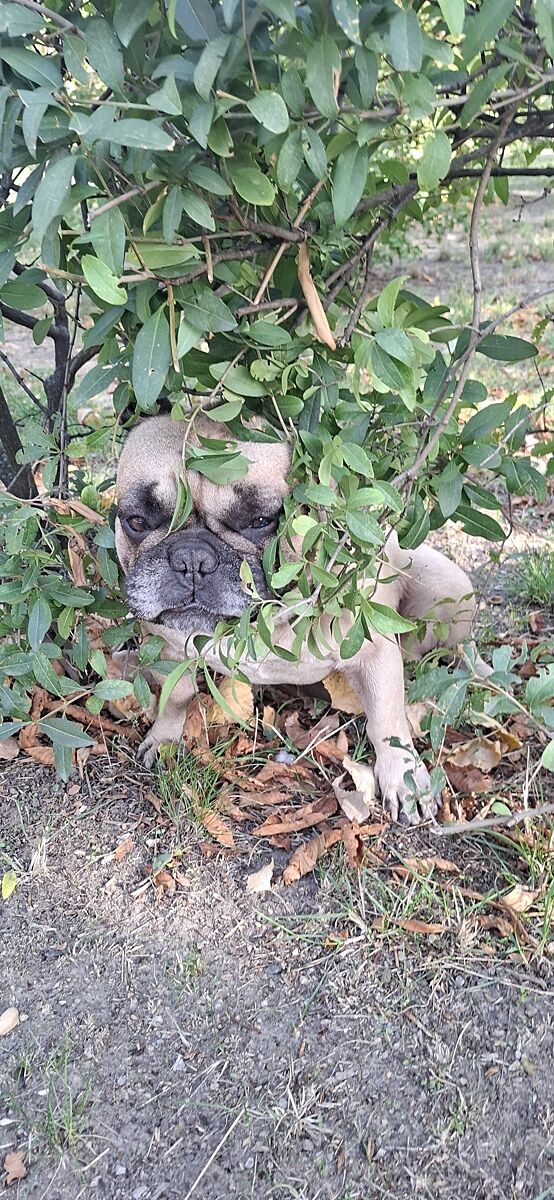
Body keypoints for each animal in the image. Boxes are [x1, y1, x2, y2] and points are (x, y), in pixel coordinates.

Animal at [115, 415, 489, 823]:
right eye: (137, 521)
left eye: (260, 520)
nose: (192, 558)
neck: (262, 624)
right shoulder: (167, 647)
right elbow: (177, 696)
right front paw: (164, 737)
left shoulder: (375, 653)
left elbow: (387, 721)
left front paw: (403, 778)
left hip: (442, 589)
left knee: (458, 647)